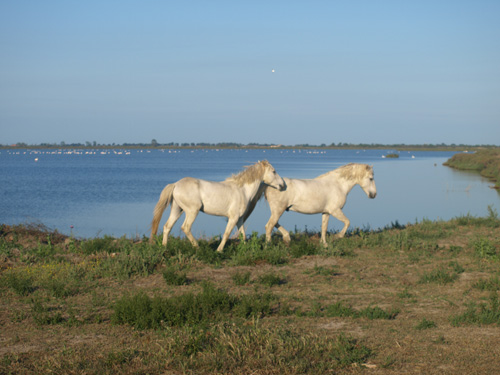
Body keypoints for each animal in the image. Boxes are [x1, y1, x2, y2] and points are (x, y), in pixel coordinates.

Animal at [150, 159, 286, 251]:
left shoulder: (239, 219)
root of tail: (176, 184)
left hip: (177, 209)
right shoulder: (233, 218)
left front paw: (246, 248)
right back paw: (197, 247)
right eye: (274, 171)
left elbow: (242, 233)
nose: (283, 185)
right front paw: (219, 250)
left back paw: (164, 247)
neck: (242, 190)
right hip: (192, 211)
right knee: (186, 227)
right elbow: (226, 234)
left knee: (167, 227)